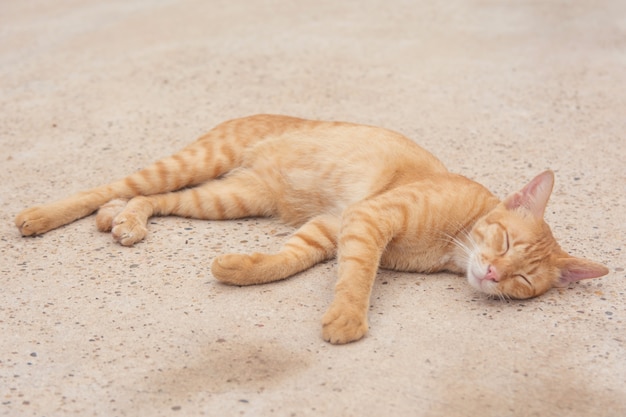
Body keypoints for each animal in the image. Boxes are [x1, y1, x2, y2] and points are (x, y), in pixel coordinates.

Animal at [14, 114, 608, 344]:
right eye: (505, 241)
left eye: (524, 281)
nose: (493, 273)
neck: (448, 247)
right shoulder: (369, 221)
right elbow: (358, 278)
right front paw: (347, 318)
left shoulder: (332, 227)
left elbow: (286, 260)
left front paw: (239, 269)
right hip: (198, 163)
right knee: (111, 185)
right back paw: (42, 215)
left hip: (229, 197)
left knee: (149, 198)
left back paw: (123, 218)